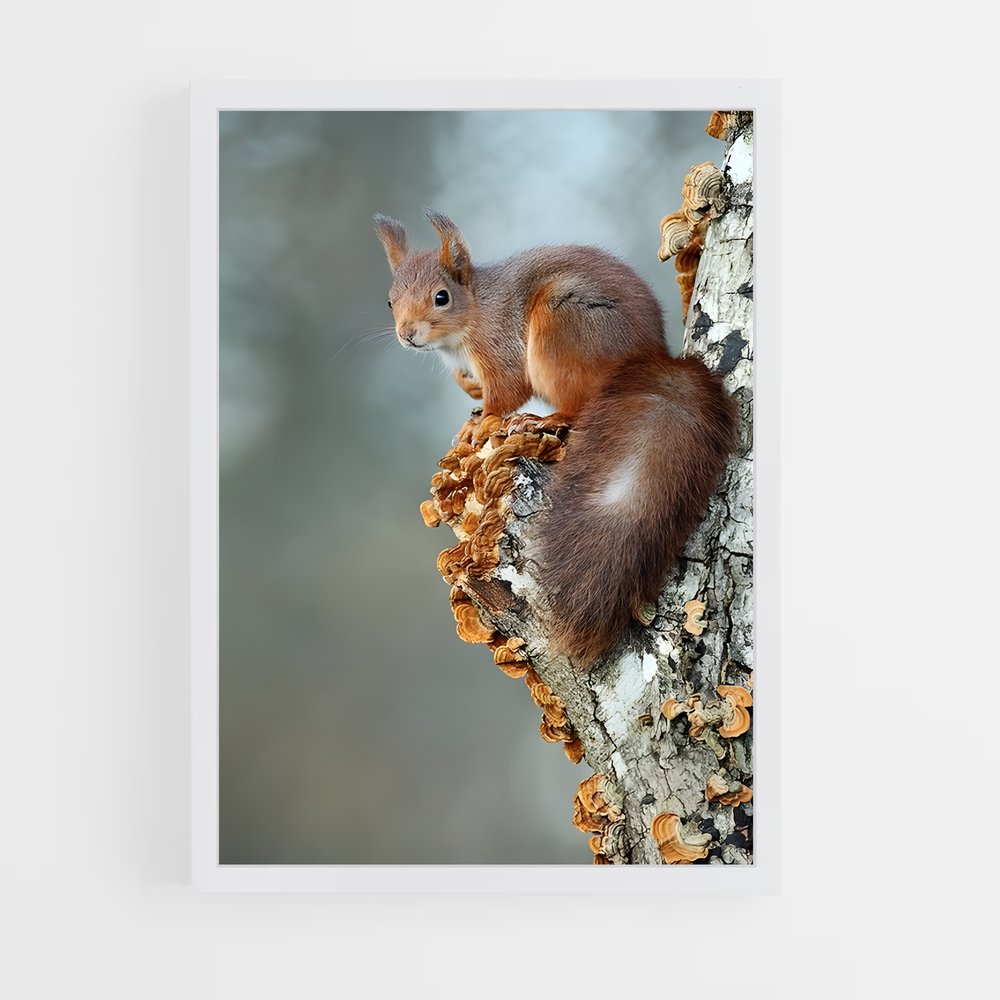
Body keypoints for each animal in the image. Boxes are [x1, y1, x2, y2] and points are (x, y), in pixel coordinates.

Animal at [374, 209, 737, 667]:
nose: (407, 334)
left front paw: (482, 422)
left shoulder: (499, 348)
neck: (474, 312)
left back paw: (539, 420)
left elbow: (506, 392)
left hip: (561, 328)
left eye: (442, 297)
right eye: (390, 300)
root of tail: (649, 358)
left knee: (578, 406)